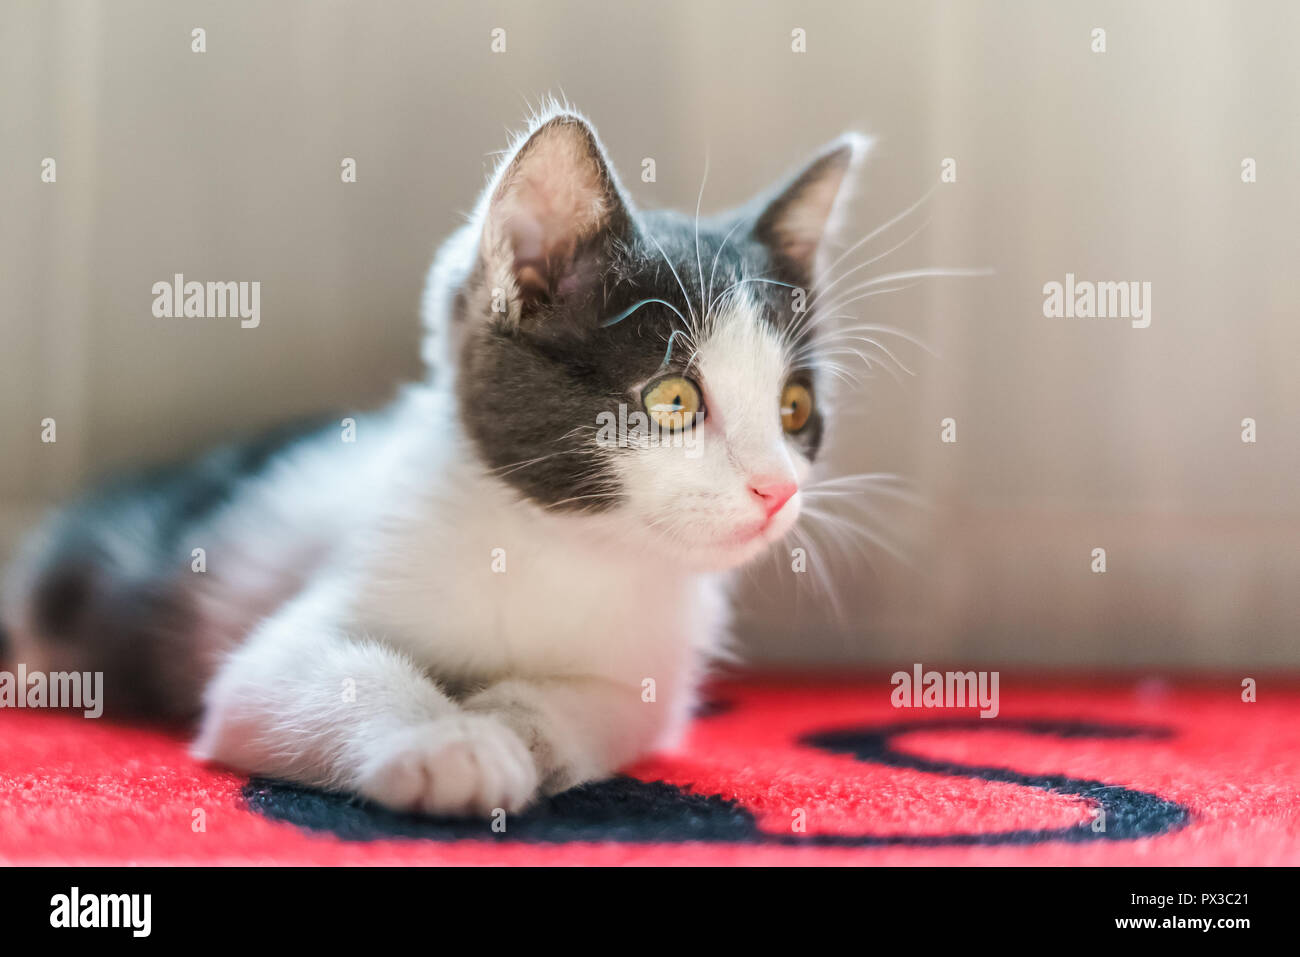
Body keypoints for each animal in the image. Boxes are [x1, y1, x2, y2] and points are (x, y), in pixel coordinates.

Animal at [5, 106, 868, 816]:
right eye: (674, 399)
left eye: (794, 408)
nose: (776, 490)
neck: (564, 545)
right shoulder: (306, 620)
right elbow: (293, 677)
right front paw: (448, 743)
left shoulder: (648, 673)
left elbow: (606, 703)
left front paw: (517, 721)